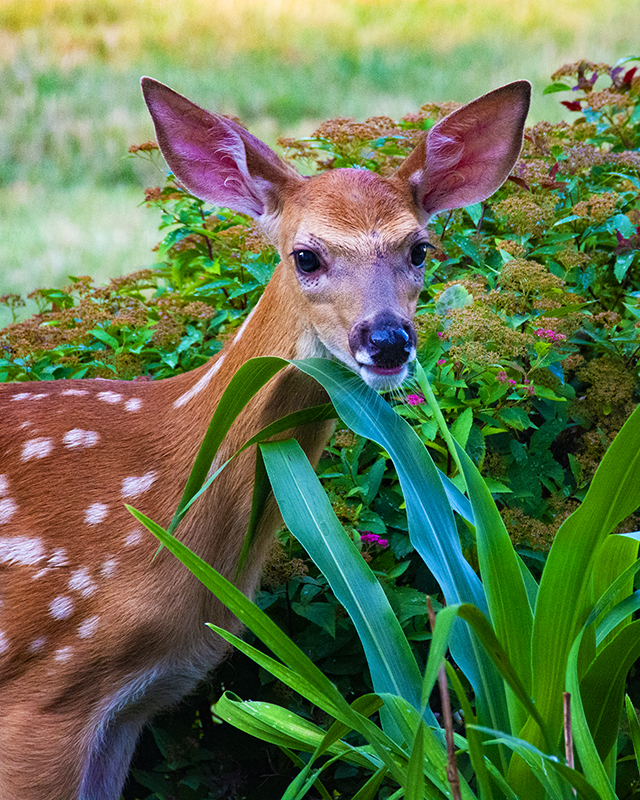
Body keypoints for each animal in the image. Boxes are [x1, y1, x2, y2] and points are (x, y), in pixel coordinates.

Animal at [0, 76, 528, 800]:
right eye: (305, 255)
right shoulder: (44, 685)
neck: (161, 498)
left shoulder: (128, 705)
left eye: (419, 249)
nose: (387, 340)